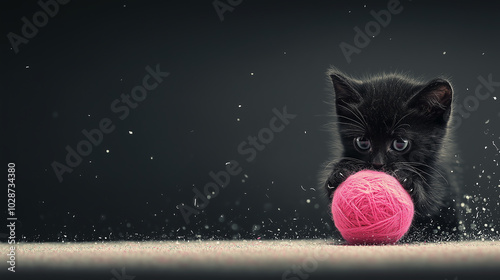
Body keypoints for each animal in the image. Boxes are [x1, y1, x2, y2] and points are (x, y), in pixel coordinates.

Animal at [322, 66, 462, 242]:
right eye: (362, 141)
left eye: (400, 143)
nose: (377, 163)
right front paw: (339, 172)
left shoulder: (438, 176)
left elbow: (429, 202)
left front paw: (408, 180)